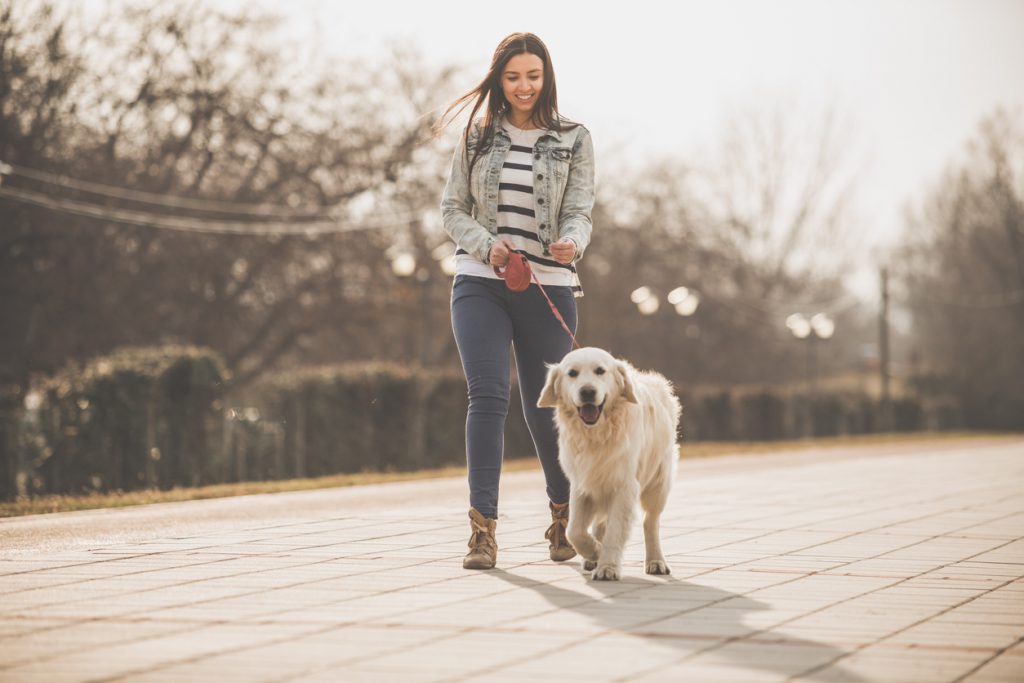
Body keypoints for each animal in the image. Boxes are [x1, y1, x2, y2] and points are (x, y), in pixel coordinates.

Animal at [536, 348, 679, 581]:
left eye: (600, 371)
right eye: (572, 373)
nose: (587, 391)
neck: (597, 434)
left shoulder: (624, 486)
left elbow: (614, 531)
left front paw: (607, 566)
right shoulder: (581, 485)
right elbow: (574, 531)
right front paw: (594, 551)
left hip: (658, 483)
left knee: (650, 522)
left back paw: (656, 561)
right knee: (599, 523)